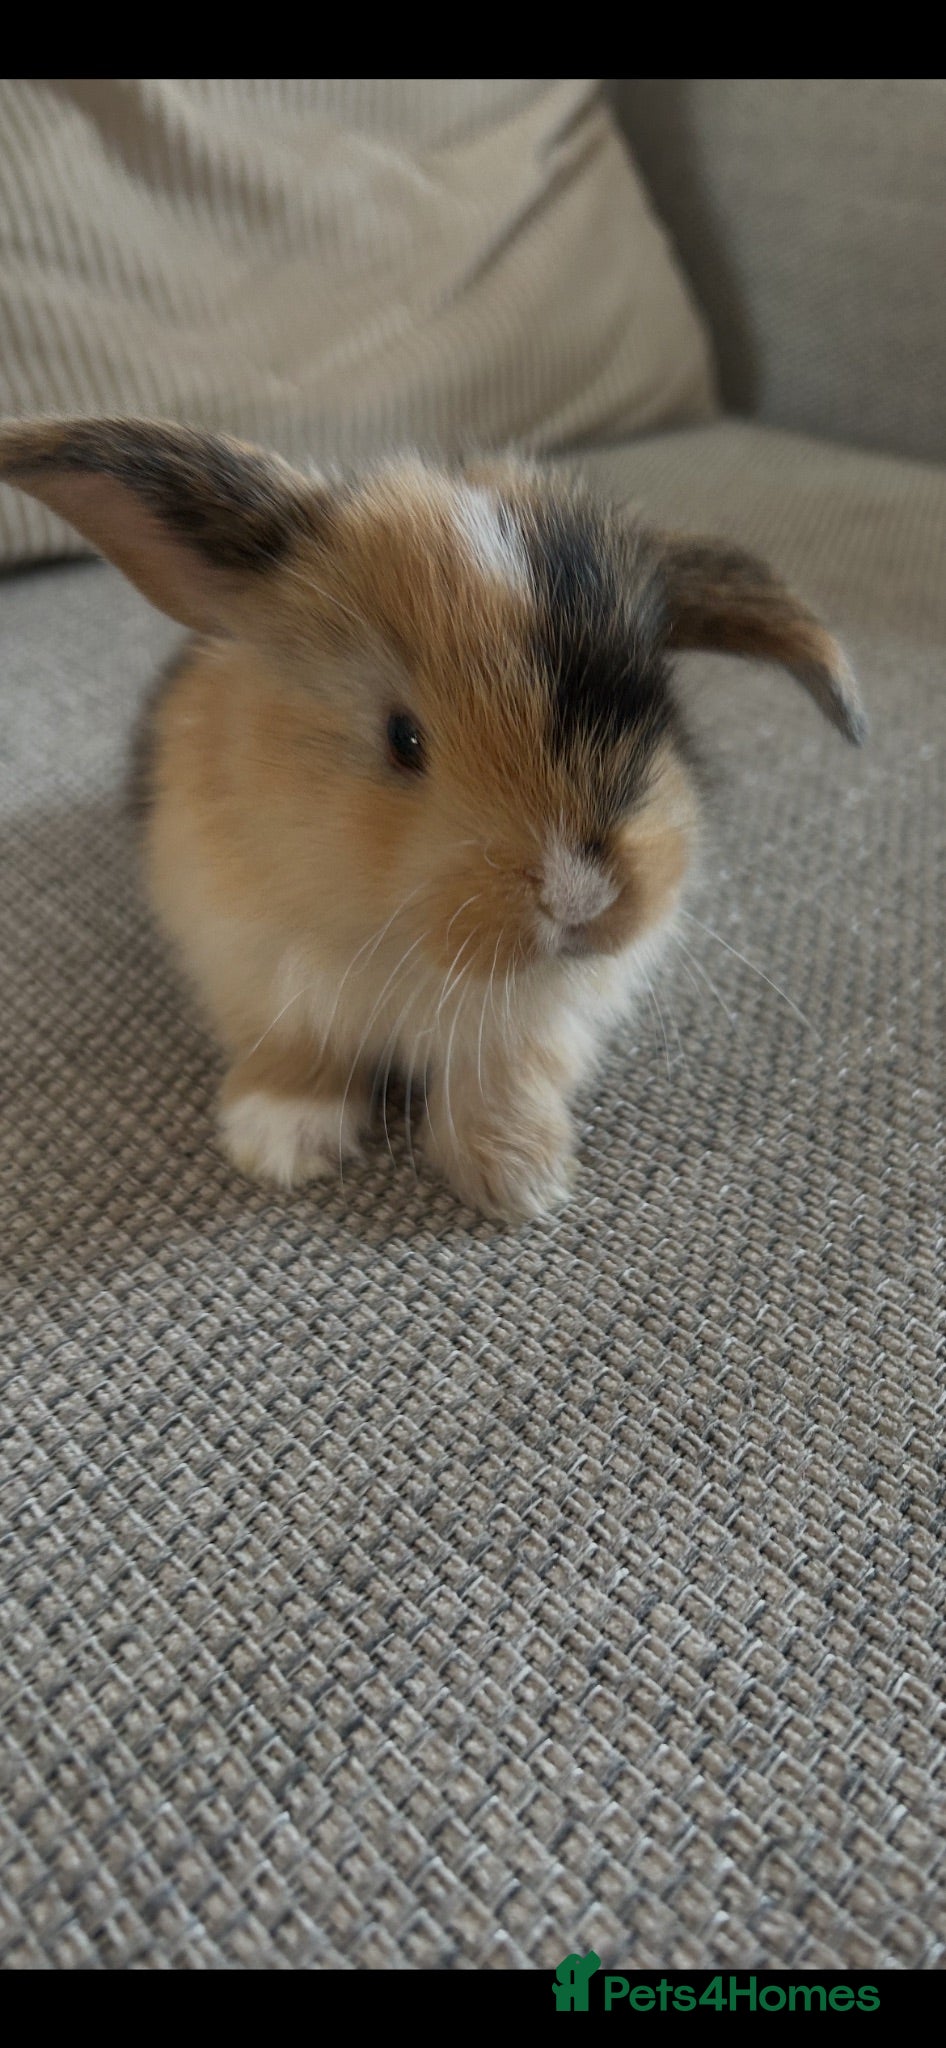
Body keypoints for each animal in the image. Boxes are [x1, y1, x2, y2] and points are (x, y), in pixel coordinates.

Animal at [0, 417, 865, 1221]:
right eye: (403, 737)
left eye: (657, 707)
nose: (580, 899)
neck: (409, 950)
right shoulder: (254, 969)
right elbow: (295, 1055)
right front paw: (281, 1148)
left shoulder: (532, 1028)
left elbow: (501, 1081)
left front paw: (520, 1179)